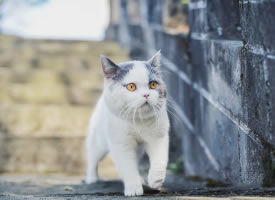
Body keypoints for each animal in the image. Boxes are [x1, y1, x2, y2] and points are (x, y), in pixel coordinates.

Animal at [85, 50, 170, 196]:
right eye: (131, 86)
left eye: (153, 84)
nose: (146, 95)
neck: (138, 121)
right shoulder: (121, 144)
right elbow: (128, 167)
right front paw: (133, 189)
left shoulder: (158, 136)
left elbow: (159, 159)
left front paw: (156, 180)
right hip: (99, 142)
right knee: (93, 157)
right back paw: (92, 179)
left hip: (138, 150)